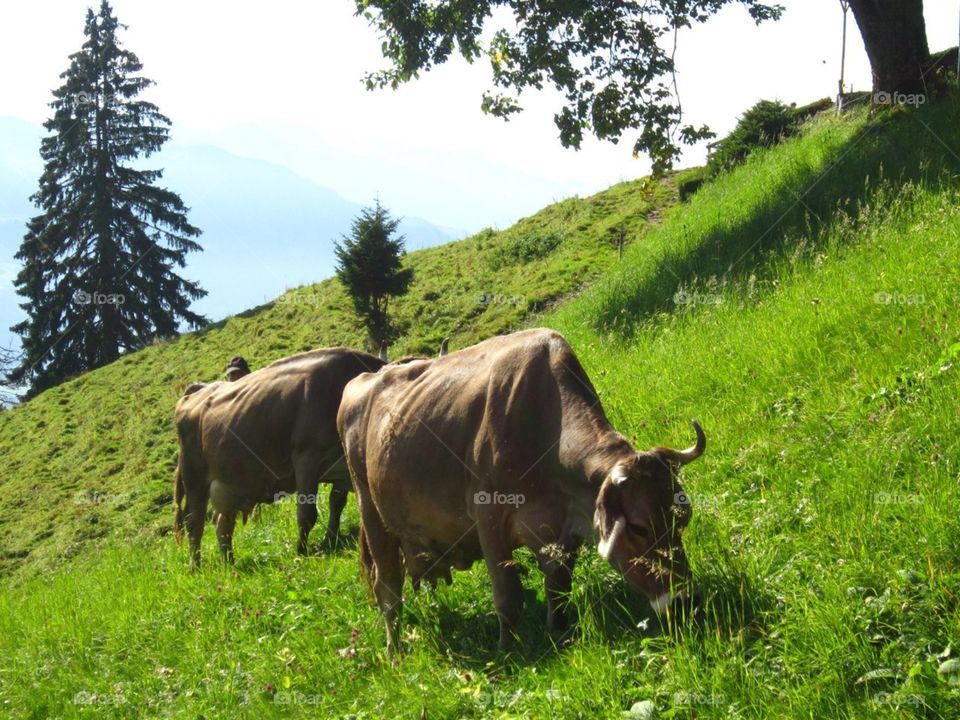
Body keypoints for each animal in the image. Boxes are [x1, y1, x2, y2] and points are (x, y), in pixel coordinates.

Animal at [173, 348, 384, 566]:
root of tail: (196, 392)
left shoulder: (342, 465)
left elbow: (337, 503)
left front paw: (330, 538)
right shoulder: (306, 459)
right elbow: (307, 513)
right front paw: (301, 551)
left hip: (228, 484)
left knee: (223, 522)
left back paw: (228, 562)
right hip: (194, 478)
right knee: (194, 522)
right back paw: (196, 566)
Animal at [337, 328, 705, 654]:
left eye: (682, 518)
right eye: (640, 528)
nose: (685, 601)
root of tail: (365, 380)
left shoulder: (563, 527)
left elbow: (558, 587)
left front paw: (559, 632)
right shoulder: (488, 518)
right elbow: (508, 594)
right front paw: (507, 651)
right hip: (371, 513)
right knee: (387, 589)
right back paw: (394, 651)